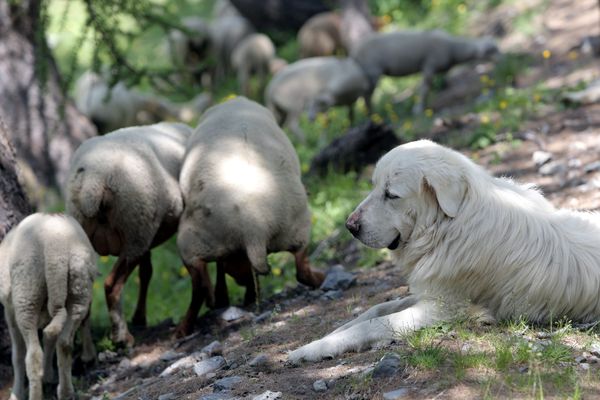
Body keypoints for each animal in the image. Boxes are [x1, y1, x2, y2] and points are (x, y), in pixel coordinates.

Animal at [0, 214, 96, 400]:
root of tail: (55, 246)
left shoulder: (9, 311)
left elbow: (17, 354)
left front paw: (16, 393)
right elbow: (49, 339)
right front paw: (49, 376)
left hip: (26, 293)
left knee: (33, 355)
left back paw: (36, 395)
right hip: (79, 288)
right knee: (64, 342)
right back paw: (65, 392)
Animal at [66, 121, 193, 344]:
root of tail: (94, 180)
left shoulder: (148, 235)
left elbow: (146, 272)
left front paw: (139, 318)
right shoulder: (143, 235)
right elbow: (145, 273)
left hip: (112, 232)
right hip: (134, 229)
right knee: (111, 285)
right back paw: (122, 337)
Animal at [176, 97, 326, 334]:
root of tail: (253, 225)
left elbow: (224, 270)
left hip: (192, 240)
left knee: (200, 283)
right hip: (296, 228)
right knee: (300, 267)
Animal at [288, 140, 600, 362]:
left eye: (391, 195)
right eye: (374, 186)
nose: (349, 226)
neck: (447, 225)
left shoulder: (443, 308)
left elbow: (374, 324)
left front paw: (311, 351)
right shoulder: (429, 291)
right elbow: (373, 311)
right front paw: (323, 339)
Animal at [350, 29, 500, 113]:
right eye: (491, 50)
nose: (502, 58)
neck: (453, 49)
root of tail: (354, 53)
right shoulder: (429, 66)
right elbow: (425, 88)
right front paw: (419, 109)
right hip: (372, 70)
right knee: (367, 95)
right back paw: (373, 115)